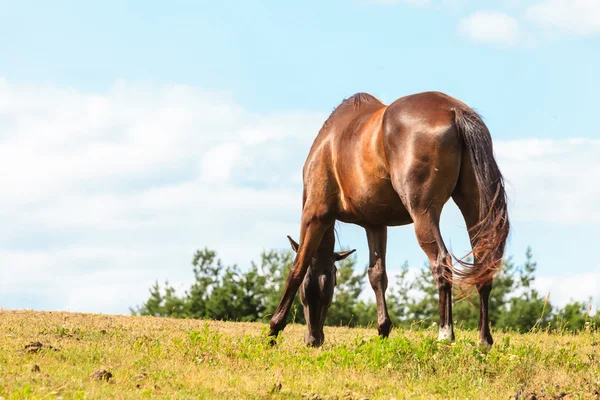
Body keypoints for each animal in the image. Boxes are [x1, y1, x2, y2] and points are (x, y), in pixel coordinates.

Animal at [270, 90, 508, 350]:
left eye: (319, 291)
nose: (314, 339)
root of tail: (454, 110)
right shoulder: (375, 224)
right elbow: (377, 275)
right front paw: (383, 331)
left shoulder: (315, 214)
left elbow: (297, 268)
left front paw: (274, 329)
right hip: (474, 207)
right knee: (483, 265)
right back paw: (484, 340)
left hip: (424, 214)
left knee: (441, 262)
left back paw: (445, 335)